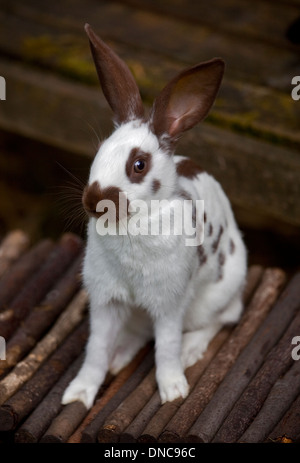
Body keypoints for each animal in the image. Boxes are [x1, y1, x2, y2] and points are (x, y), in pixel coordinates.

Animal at [61, 24, 246, 410]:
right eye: (99, 152)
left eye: (138, 165)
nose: (93, 199)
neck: (134, 224)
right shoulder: (107, 300)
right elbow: (95, 350)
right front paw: (79, 394)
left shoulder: (169, 303)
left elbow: (167, 347)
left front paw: (174, 390)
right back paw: (119, 357)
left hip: (216, 296)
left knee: (222, 319)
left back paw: (191, 350)